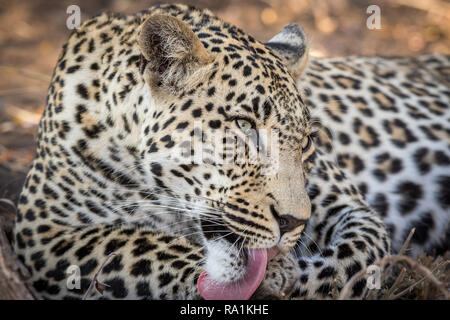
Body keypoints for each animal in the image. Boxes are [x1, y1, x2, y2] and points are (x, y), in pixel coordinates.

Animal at [12, 3, 448, 300]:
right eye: (243, 126)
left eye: (306, 141)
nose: (292, 222)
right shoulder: (42, 232)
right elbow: (138, 245)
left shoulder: (350, 207)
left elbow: (355, 258)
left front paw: (282, 277)